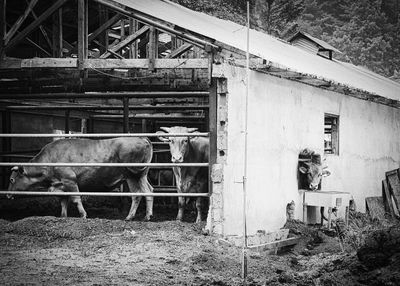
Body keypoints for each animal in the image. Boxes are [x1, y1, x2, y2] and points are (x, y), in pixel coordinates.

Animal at [8, 137, 155, 220]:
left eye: (11, 180)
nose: (8, 194)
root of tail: (142, 139)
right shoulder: (61, 185)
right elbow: (63, 202)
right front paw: (63, 216)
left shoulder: (70, 180)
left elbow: (76, 199)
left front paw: (83, 215)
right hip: (140, 175)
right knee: (149, 191)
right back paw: (145, 215)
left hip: (133, 175)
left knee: (138, 194)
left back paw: (134, 216)